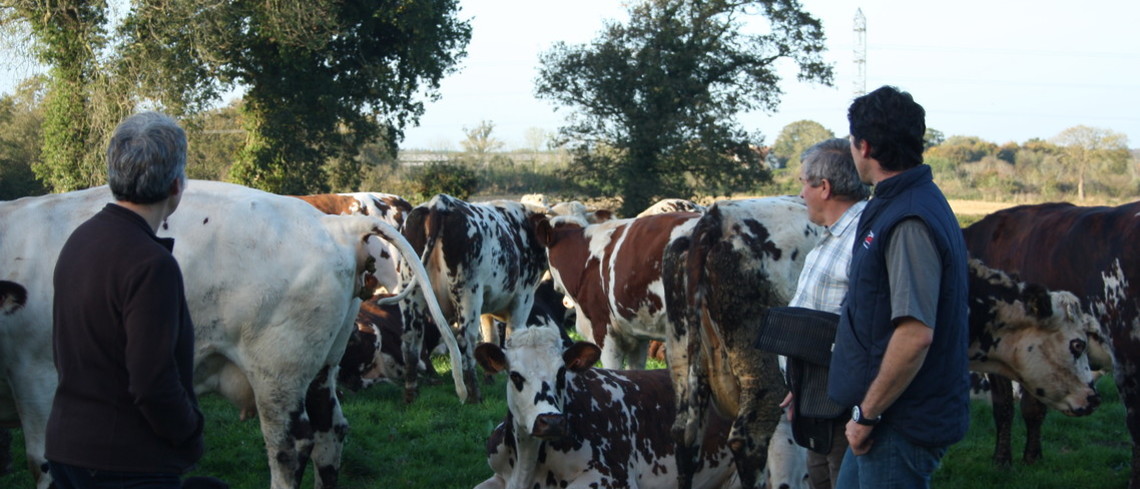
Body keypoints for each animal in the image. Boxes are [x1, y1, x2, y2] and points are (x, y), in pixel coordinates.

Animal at [1, 180, 462, 487]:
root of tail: (334, 226)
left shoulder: (35, 369)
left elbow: (42, 460)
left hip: (278, 373)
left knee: (291, 449)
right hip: (320, 367)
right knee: (330, 435)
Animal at [396, 194, 547, 403]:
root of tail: (439, 202)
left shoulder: (488, 306)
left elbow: (491, 338)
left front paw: (491, 377)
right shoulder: (523, 298)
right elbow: (511, 337)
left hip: (411, 291)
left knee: (411, 341)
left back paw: (411, 395)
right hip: (468, 294)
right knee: (465, 342)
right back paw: (475, 395)